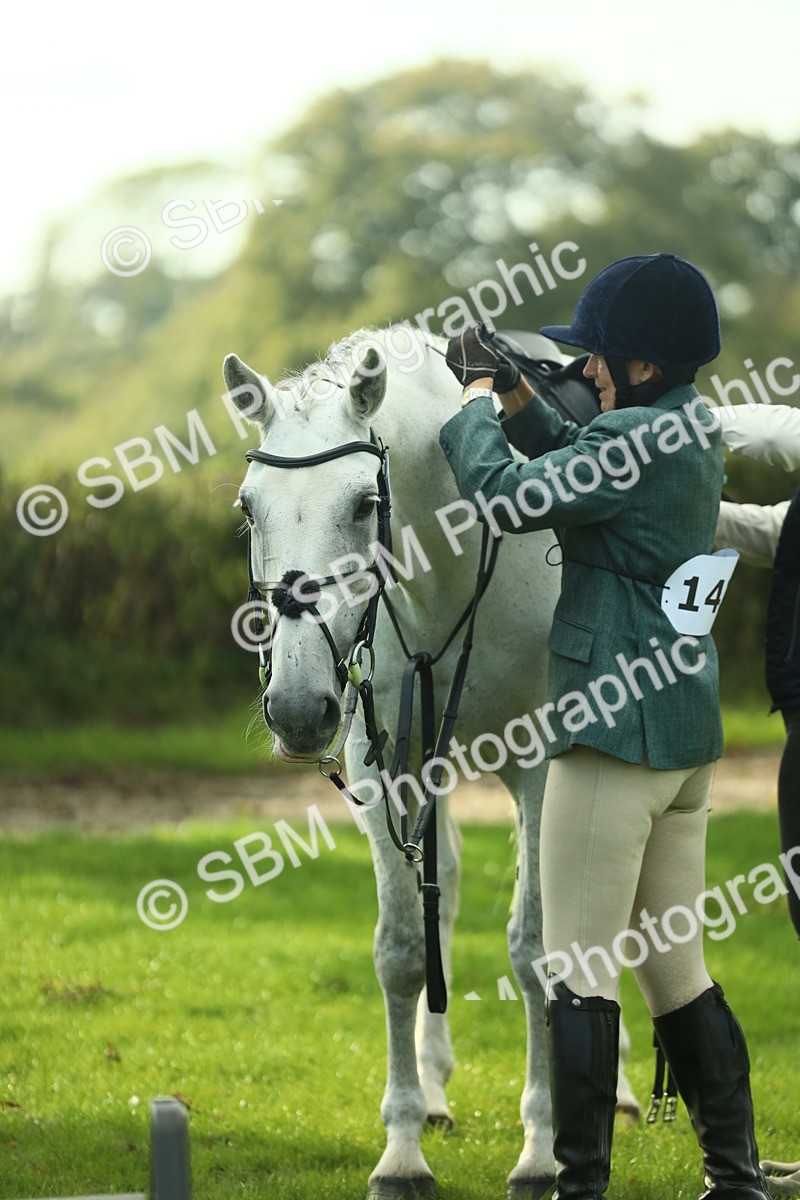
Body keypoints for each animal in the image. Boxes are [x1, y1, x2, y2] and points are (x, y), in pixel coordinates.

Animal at [223, 323, 639, 1199]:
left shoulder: (541, 764)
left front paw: (542, 1148)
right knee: (438, 893)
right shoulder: (385, 765)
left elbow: (536, 950)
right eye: (249, 509)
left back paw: (614, 1088)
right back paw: (440, 1089)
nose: (297, 709)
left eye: (364, 504)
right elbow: (404, 948)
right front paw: (404, 1149)